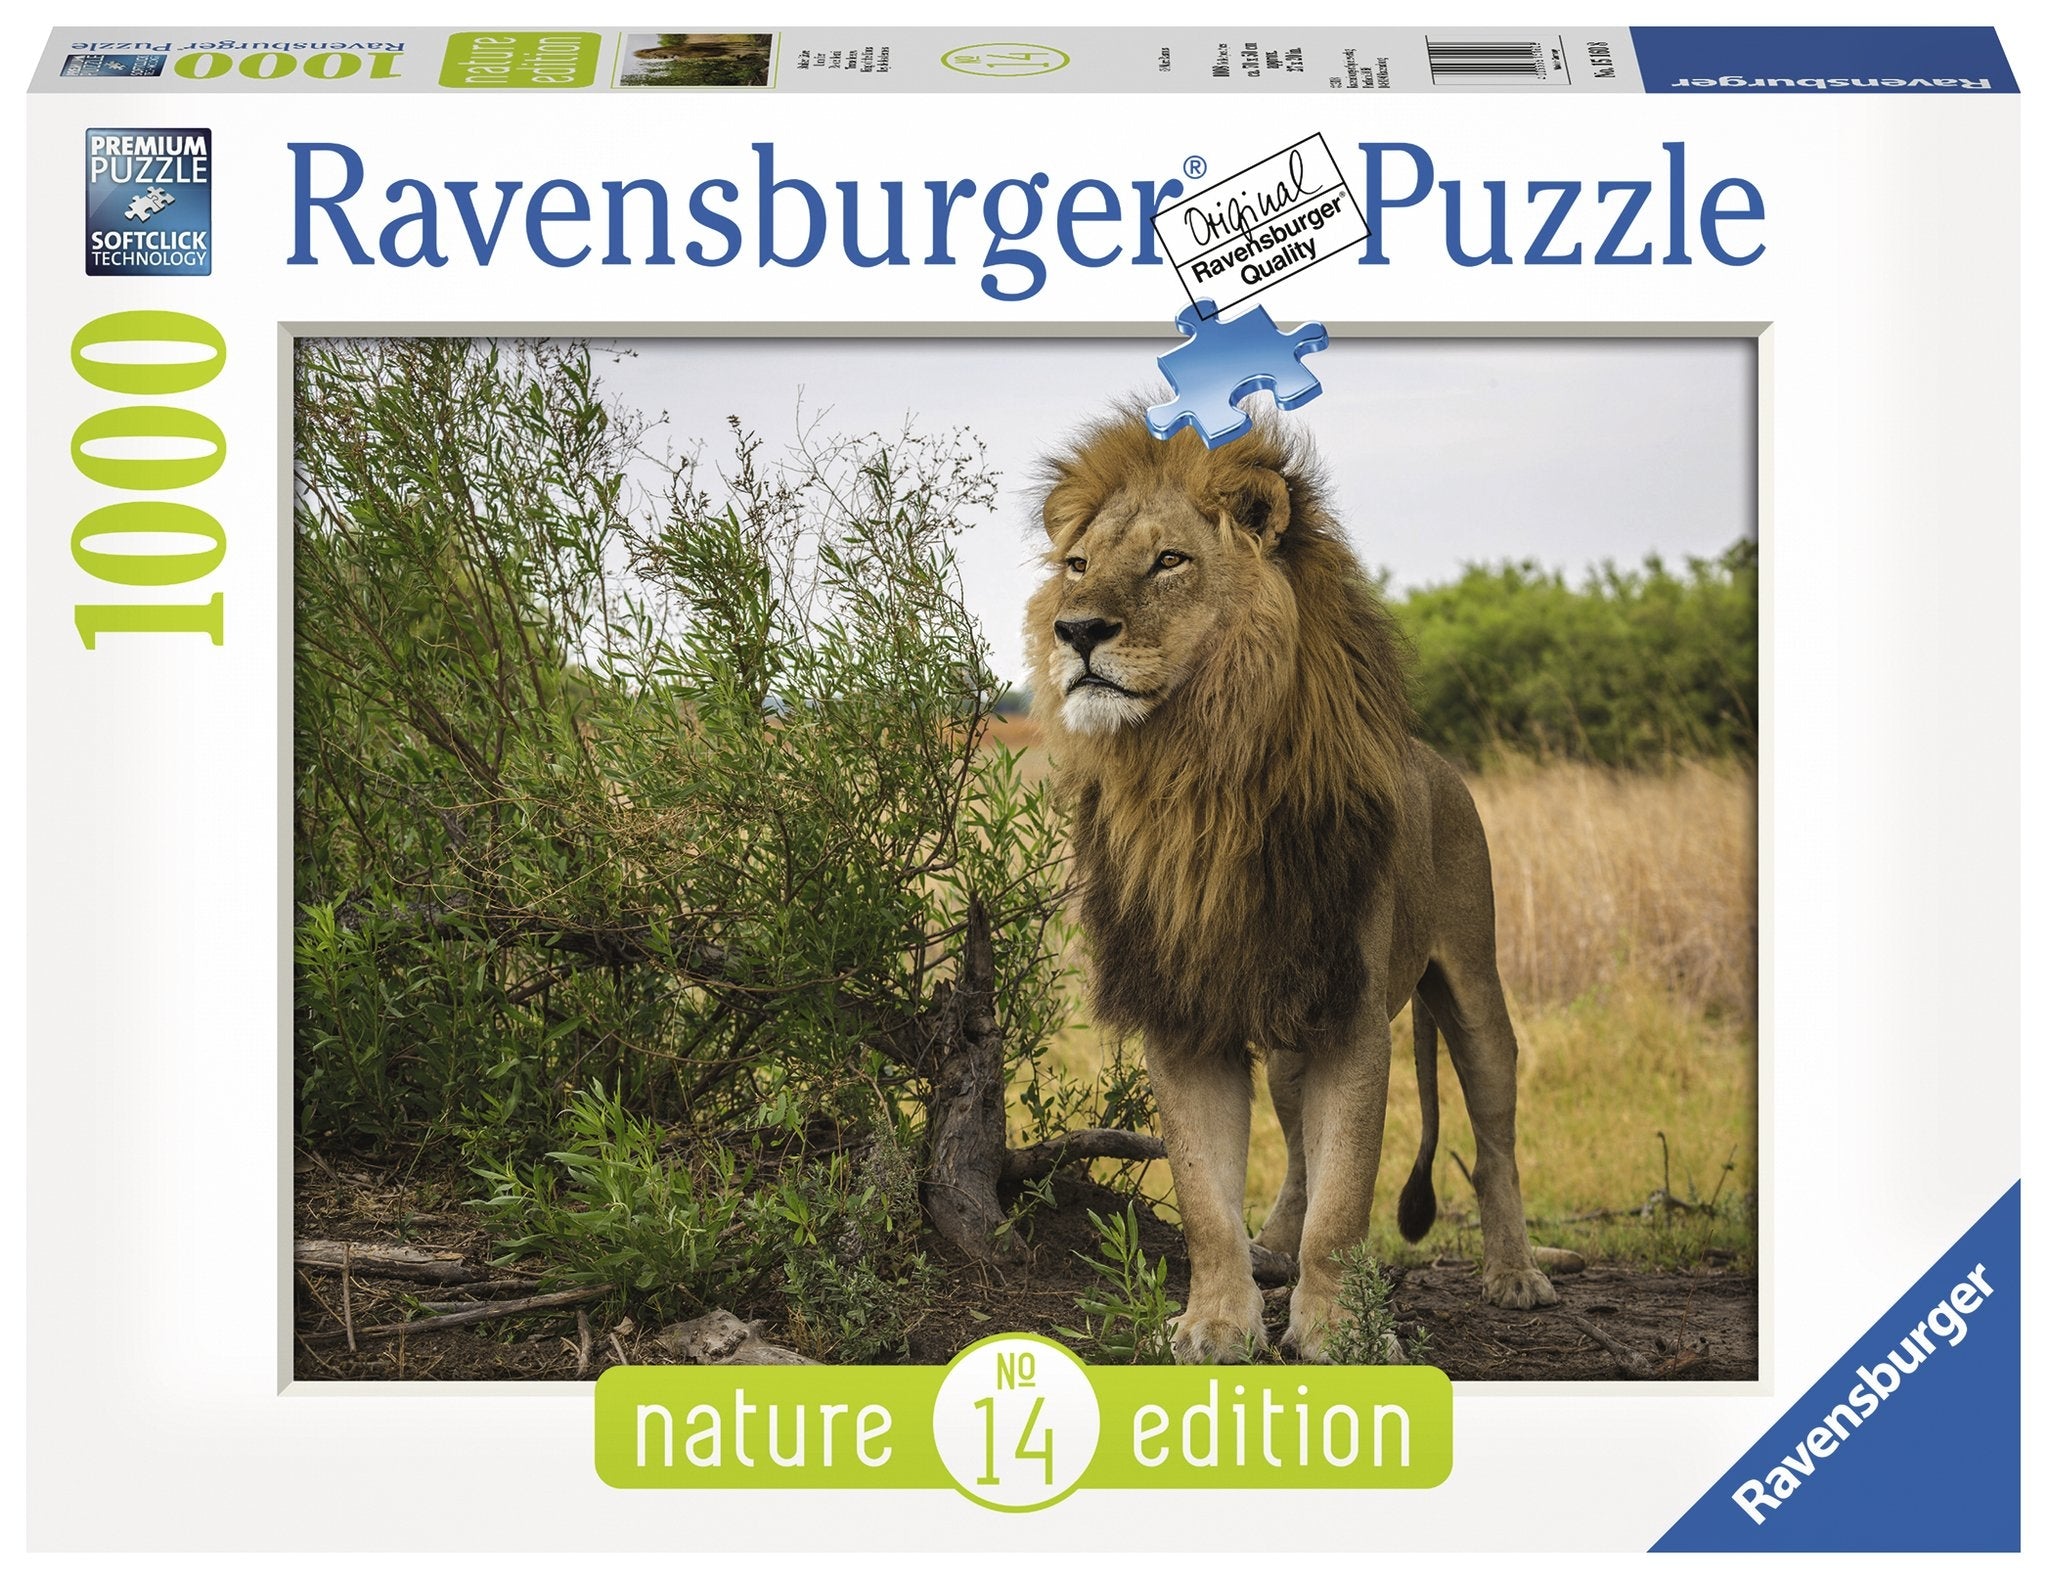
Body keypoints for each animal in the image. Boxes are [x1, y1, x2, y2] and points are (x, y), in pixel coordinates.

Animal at [1025, 407, 1558, 1363]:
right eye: (1078, 567)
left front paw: (1340, 1335)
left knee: (1494, 1135)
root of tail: (1439, 762)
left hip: (1472, 985)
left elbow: (1347, 1198)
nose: (1075, 631)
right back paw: (1275, 1244)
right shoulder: (1186, 1012)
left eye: (1169, 562)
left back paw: (1515, 1275)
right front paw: (1215, 1325)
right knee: (1301, 1152)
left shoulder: (1352, 1017)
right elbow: (1207, 1198)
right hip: (1285, 1040)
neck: (1195, 775)